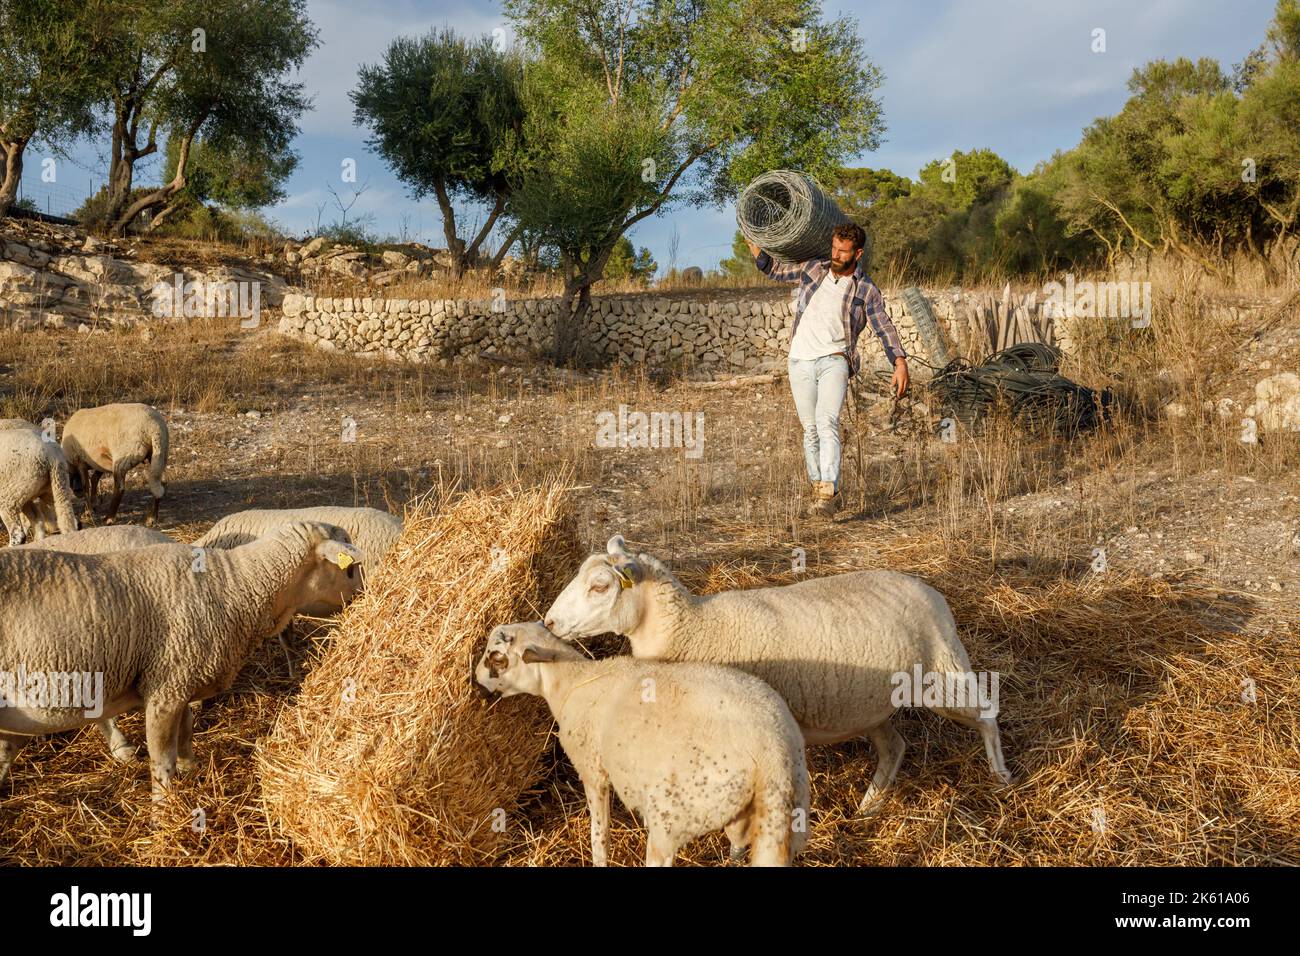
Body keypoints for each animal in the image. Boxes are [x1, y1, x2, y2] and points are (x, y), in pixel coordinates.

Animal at [0, 522, 361, 801]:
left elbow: (186, 731)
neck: (236, 587)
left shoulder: (183, 677)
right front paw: (164, 808)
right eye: (350, 568)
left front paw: (192, 769)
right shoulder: (165, 689)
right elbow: (162, 758)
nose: (366, 594)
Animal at [473, 621, 806, 868]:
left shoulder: (593, 771)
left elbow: (599, 835)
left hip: (674, 818)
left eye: (496, 658)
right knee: (740, 844)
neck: (571, 683)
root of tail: (773, 751)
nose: (476, 684)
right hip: (774, 814)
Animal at [543, 535, 1008, 811]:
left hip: (945, 674)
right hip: (869, 708)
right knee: (894, 747)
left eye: (600, 587)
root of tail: (928, 588)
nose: (548, 622)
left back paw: (1001, 777)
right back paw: (868, 806)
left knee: (987, 715)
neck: (693, 628)